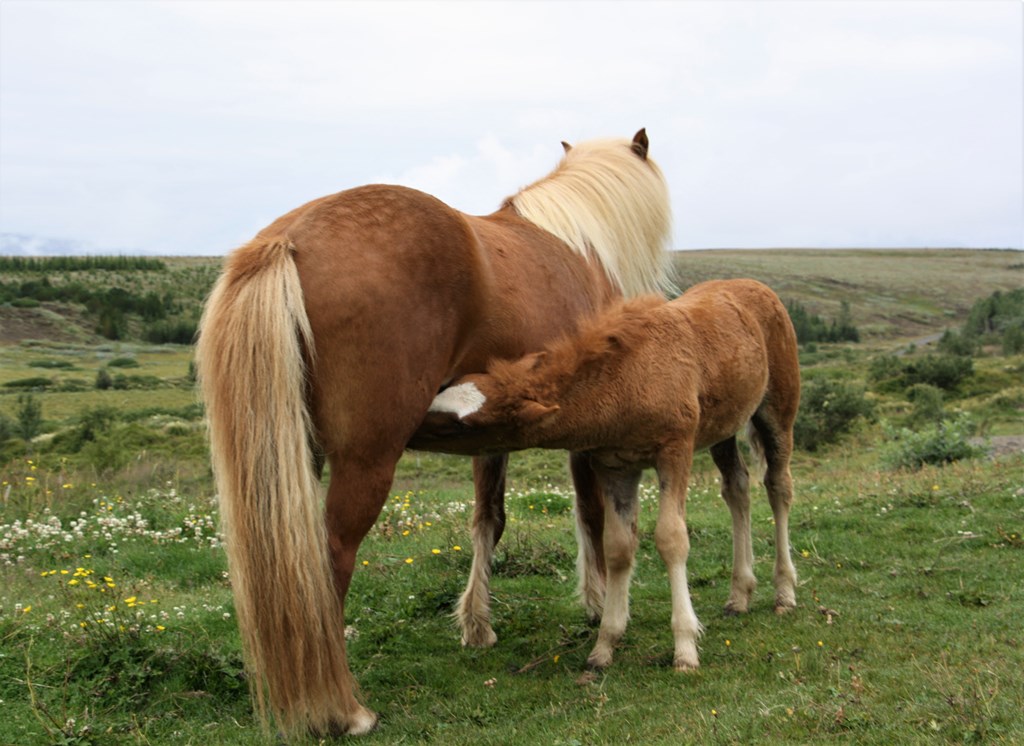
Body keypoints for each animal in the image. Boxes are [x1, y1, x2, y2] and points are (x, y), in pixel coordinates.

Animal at [193, 129, 671, 732]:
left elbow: (489, 519)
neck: (580, 245)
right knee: (330, 557)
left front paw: (477, 625)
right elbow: (590, 514)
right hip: (367, 460)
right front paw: (595, 603)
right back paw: (345, 710)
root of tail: (289, 239)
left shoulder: (492, 433)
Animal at [411, 280, 802, 675]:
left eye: (458, 426)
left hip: (778, 407)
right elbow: (617, 547)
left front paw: (685, 649)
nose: (408, 428)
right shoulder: (615, 466)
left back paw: (784, 592)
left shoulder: (675, 451)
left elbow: (672, 538)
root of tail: (756, 286)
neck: (627, 377)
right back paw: (740, 594)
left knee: (778, 486)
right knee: (737, 487)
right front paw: (604, 646)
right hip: (723, 425)